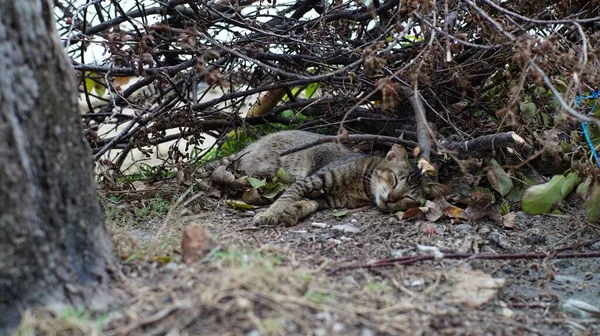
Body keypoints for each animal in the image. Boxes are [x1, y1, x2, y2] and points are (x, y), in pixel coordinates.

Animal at [202, 130, 450, 227]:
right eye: (395, 180)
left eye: (408, 198)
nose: (391, 199)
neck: (361, 188)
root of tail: (254, 144)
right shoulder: (313, 180)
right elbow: (286, 197)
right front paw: (270, 214)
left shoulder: (326, 199)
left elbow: (307, 203)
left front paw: (293, 211)